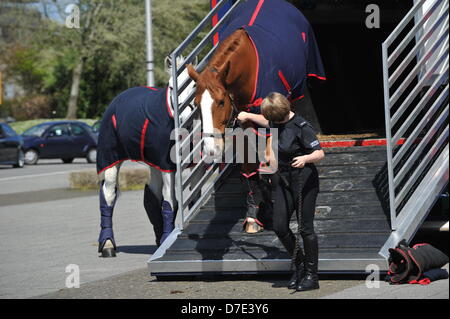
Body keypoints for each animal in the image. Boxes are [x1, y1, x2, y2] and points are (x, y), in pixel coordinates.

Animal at [96, 57, 194, 258]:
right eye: (171, 86)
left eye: (194, 85)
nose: (185, 117)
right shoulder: (167, 166)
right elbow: (170, 201)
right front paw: (167, 238)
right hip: (110, 159)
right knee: (108, 195)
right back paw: (107, 244)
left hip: (154, 164)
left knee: (152, 195)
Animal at [188, 0, 326, 234]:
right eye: (197, 104)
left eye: (221, 102)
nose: (211, 148)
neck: (248, 69)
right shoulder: (241, 127)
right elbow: (250, 169)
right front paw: (254, 215)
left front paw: (270, 208)